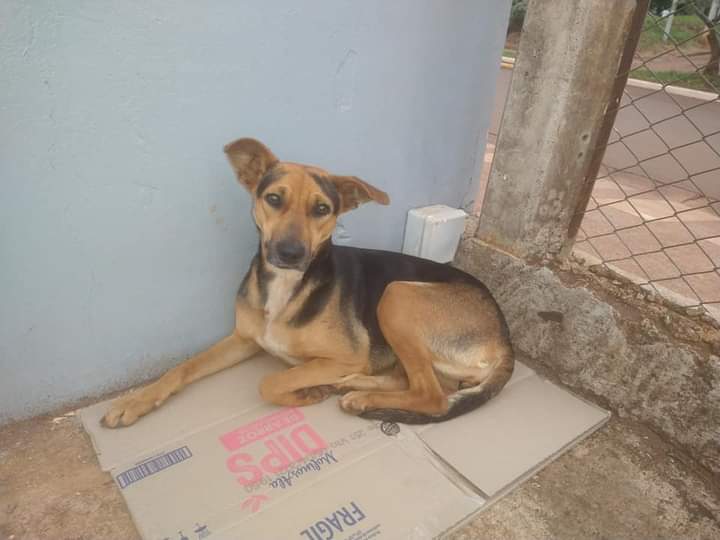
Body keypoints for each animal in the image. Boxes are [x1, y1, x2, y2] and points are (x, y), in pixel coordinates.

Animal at [104, 139, 516, 430]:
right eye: (273, 198)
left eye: (322, 209)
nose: (290, 253)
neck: (287, 287)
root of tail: (505, 340)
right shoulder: (242, 339)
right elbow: (183, 368)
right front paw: (133, 402)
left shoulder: (346, 354)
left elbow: (270, 383)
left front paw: (309, 391)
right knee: (422, 384)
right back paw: (357, 386)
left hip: (396, 295)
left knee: (433, 396)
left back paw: (358, 397)